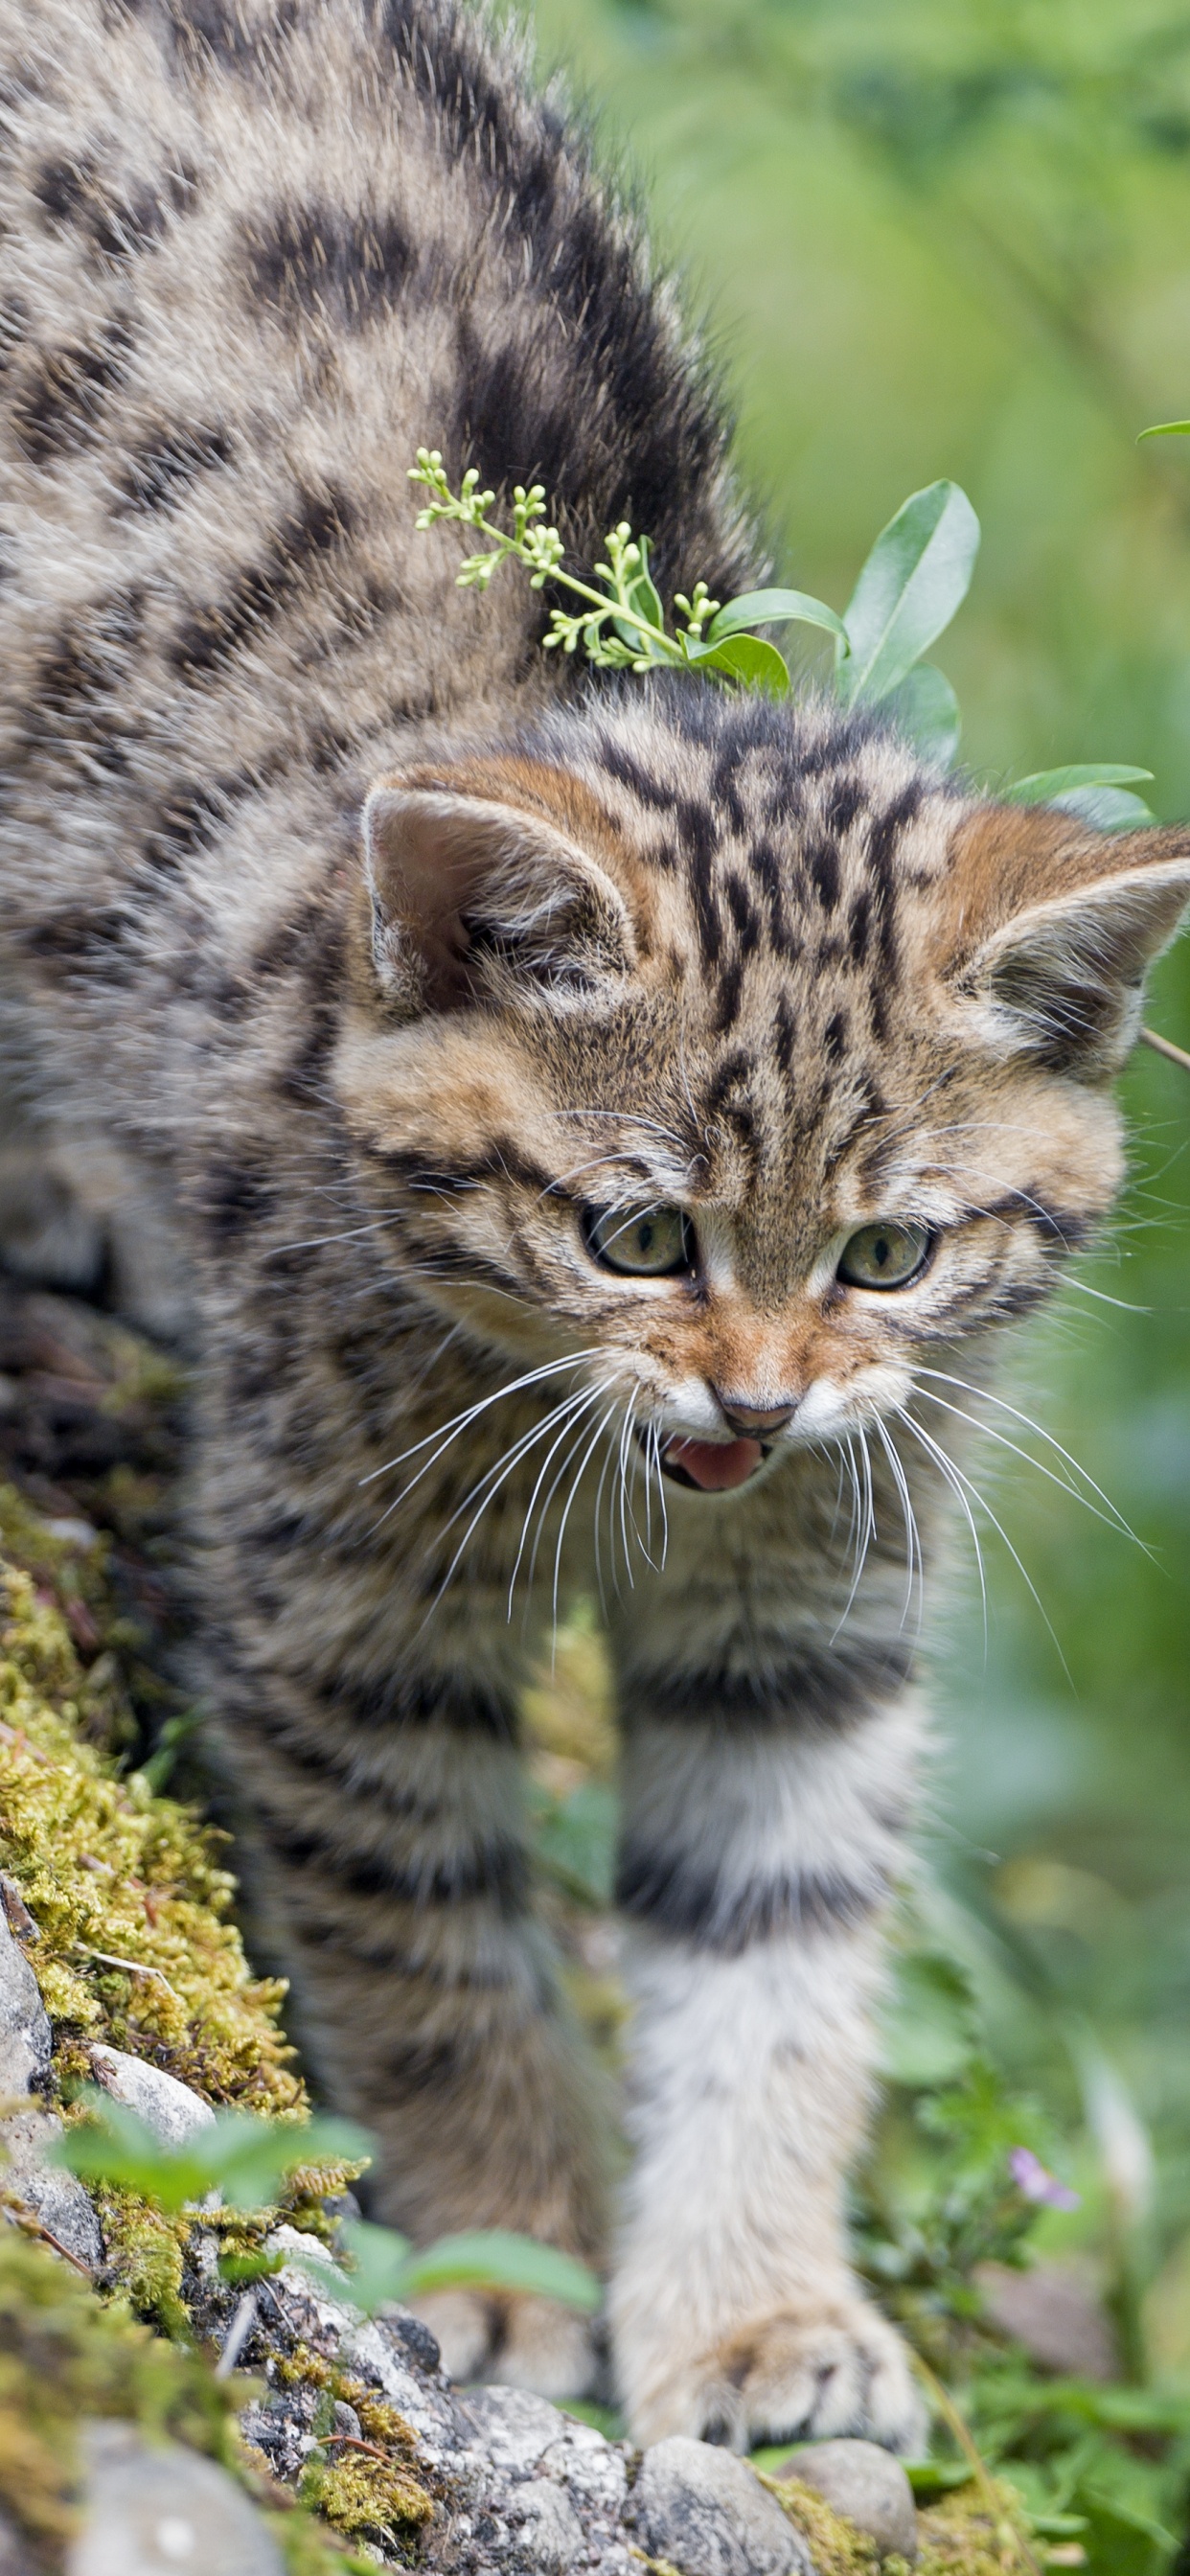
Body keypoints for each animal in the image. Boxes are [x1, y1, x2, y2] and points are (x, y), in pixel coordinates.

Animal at [2, 0, 1190, 2451]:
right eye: (638, 1240)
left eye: (888, 1259)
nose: (755, 1400)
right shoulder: (334, 1593)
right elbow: (424, 1924)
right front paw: (508, 2257)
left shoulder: (816, 1609)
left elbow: (778, 1946)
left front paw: (753, 2309)